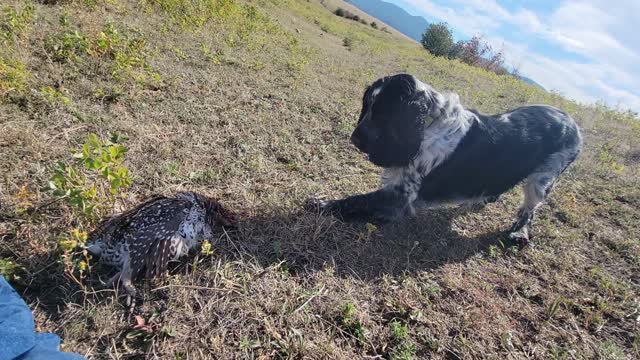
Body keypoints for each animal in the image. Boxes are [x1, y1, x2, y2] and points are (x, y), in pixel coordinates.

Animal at [314, 73, 580, 245]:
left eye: (383, 112)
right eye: (367, 105)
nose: (354, 138)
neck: (428, 125)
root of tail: (573, 123)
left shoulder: (399, 198)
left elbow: (357, 200)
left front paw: (323, 203)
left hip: (542, 180)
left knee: (530, 209)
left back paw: (519, 234)